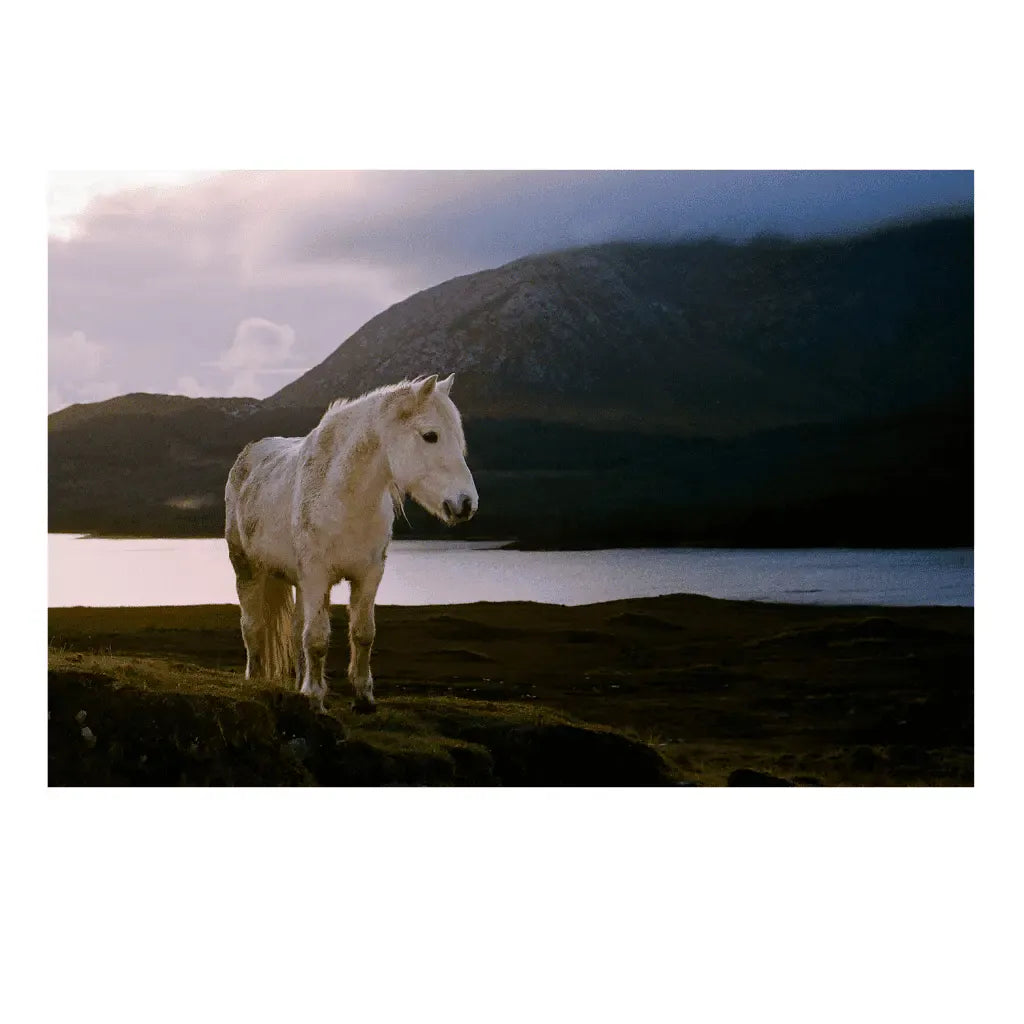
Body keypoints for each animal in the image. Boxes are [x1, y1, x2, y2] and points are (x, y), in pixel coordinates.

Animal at [224, 374, 478, 712]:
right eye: (430, 436)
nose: (466, 504)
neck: (344, 497)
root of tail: (248, 456)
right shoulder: (317, 576)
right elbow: (317, 638)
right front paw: (315, 698)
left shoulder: (369, 575)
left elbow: (362, 633)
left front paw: (363, 697)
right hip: (248, 570)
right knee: (253, 627)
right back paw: (255, 679)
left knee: (295, 630)